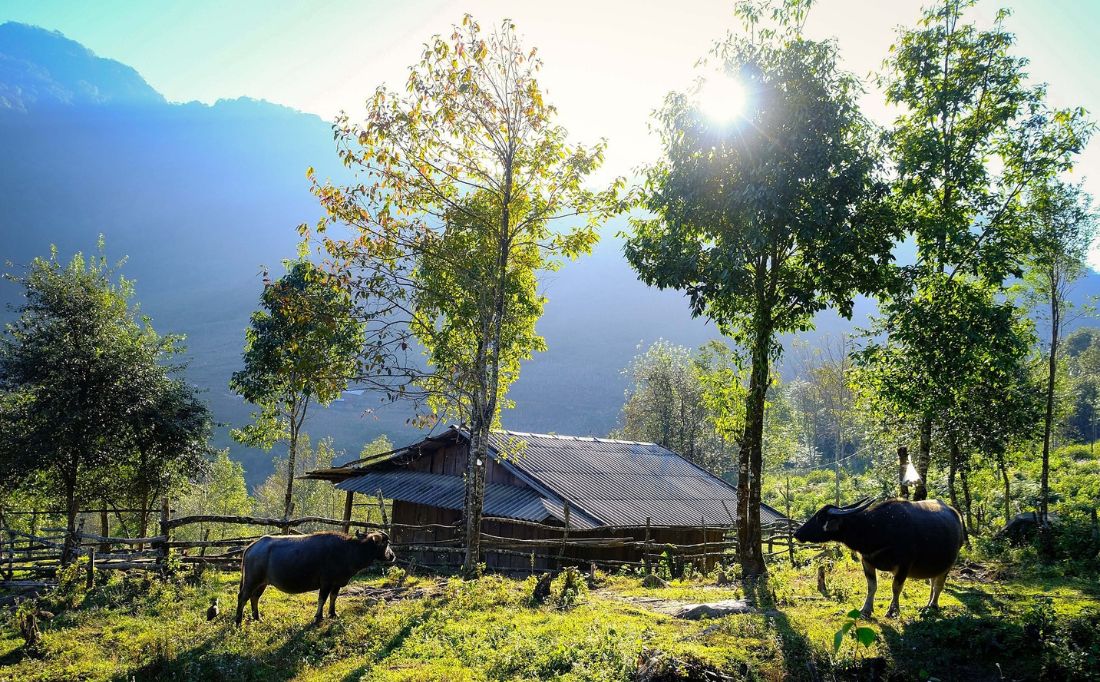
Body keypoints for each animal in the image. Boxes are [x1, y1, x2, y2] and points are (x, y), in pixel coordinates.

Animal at [234, 530, 398, 624]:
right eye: (386, 543)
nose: (392, 556)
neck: (348, 551)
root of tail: (252, 546)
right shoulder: (326, 582)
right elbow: (322, 599)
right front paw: (318, 617)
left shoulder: (336, 583)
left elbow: (333, 598)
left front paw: (333, 614)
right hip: (251, 581)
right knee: (243, 597)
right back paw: (238, 621)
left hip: (262, 583)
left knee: (254, 597)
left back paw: (257, 618)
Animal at [792, 495, 963, 616]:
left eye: (819, 517)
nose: (797, 533)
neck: (876, 528)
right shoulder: (867, 561)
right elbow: (872, 586)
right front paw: (866, 610)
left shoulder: (904, 565)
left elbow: (896, 587)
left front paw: (893, 611)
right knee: (933, 583)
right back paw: (928, 605)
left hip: (949, 564)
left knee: (939, 585)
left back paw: (933, 605)